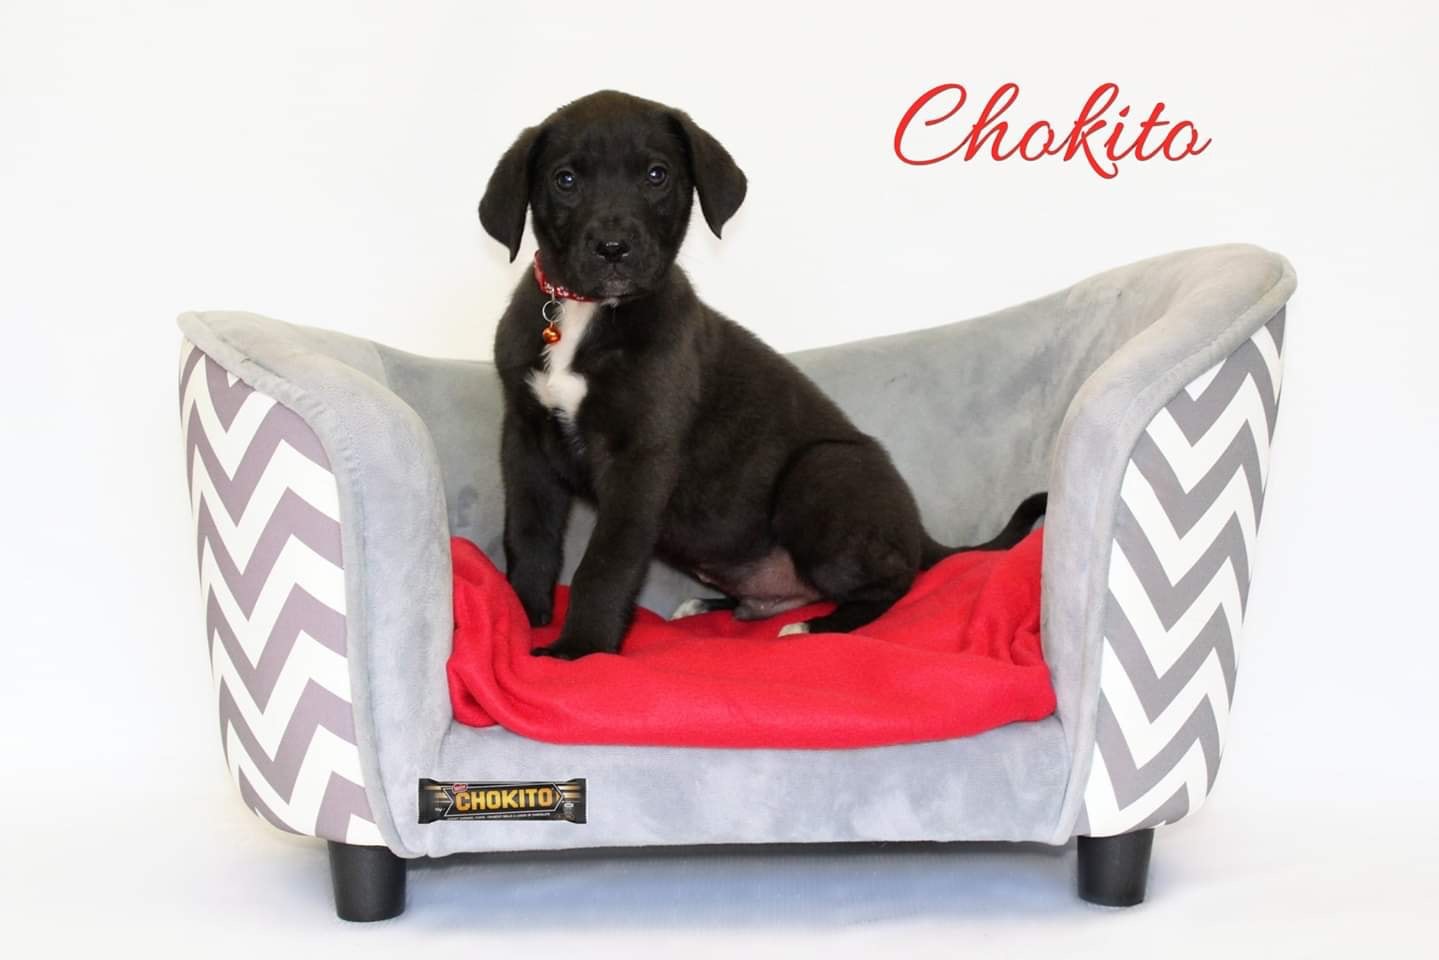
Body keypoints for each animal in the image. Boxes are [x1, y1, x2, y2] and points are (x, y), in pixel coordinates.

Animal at [480, 90, 1044, 659]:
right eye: (565, 179)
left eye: (657, 175)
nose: (614, 248)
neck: (586, 314)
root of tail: (920, 533)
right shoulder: (525, 442)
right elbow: (527, 536)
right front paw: (520, 616)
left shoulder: (640, 458)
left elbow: (606, 562)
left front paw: (581, 649)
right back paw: (712, 606)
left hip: (822, 472)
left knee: (896, 582)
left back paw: (817, 627)